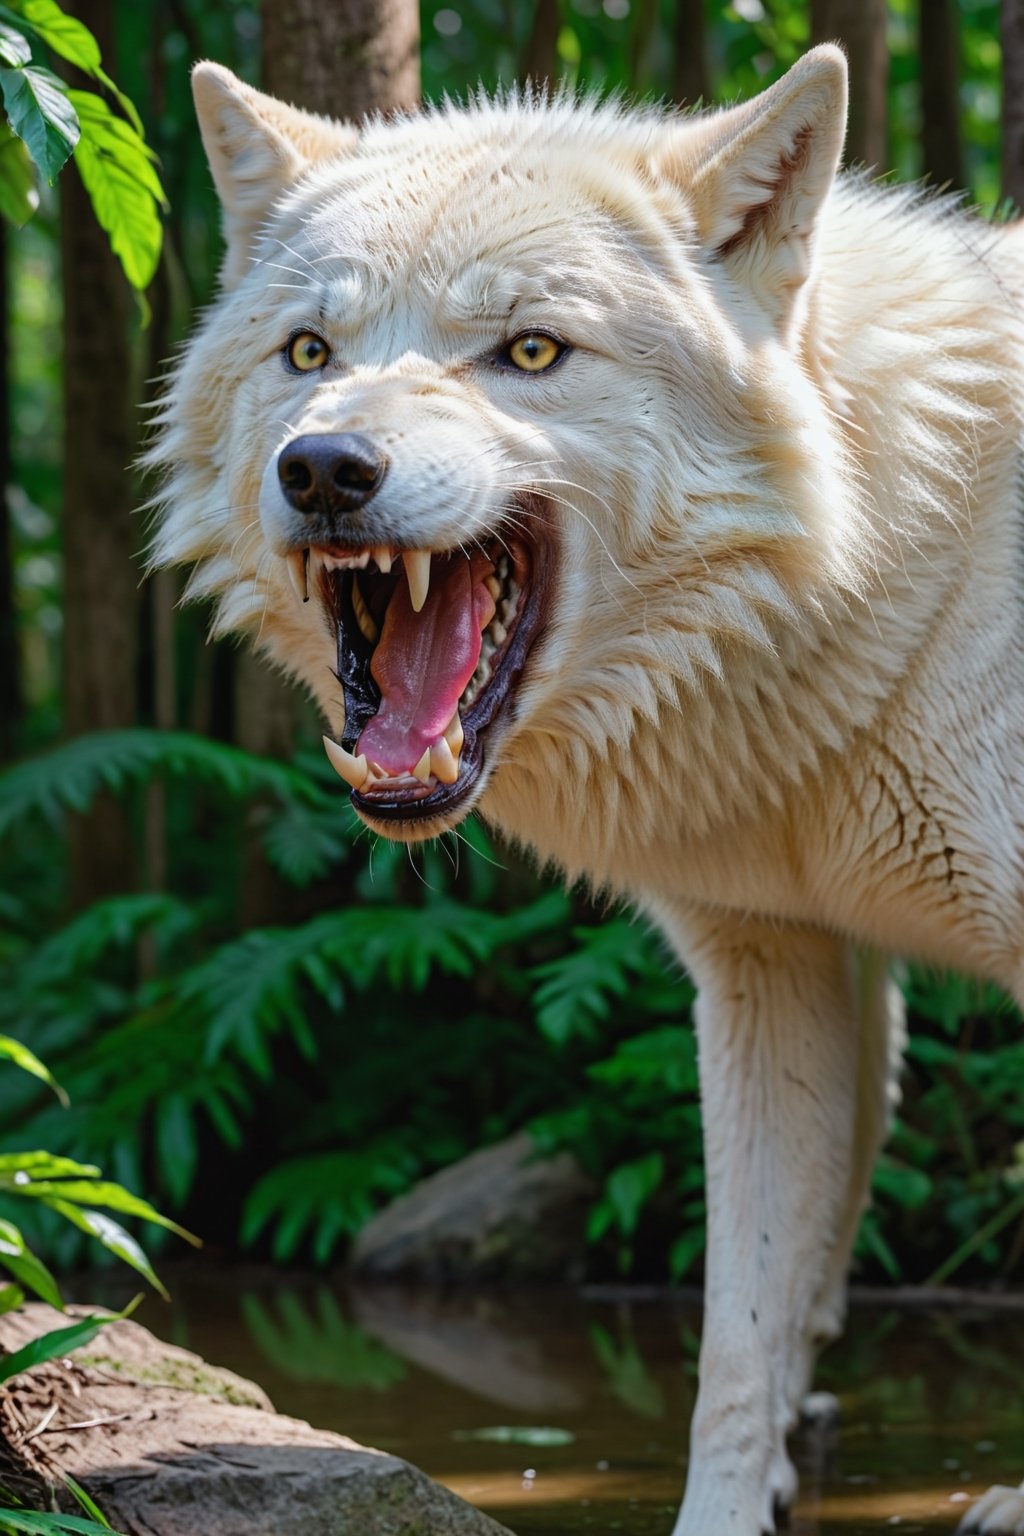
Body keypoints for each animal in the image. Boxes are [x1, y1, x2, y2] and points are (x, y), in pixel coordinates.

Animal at [151, 48, 1024, 1536]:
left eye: (530, 351)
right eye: (310, 353)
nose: (324, 469)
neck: (883, 553)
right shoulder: (778, 972)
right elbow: (743, 1336)